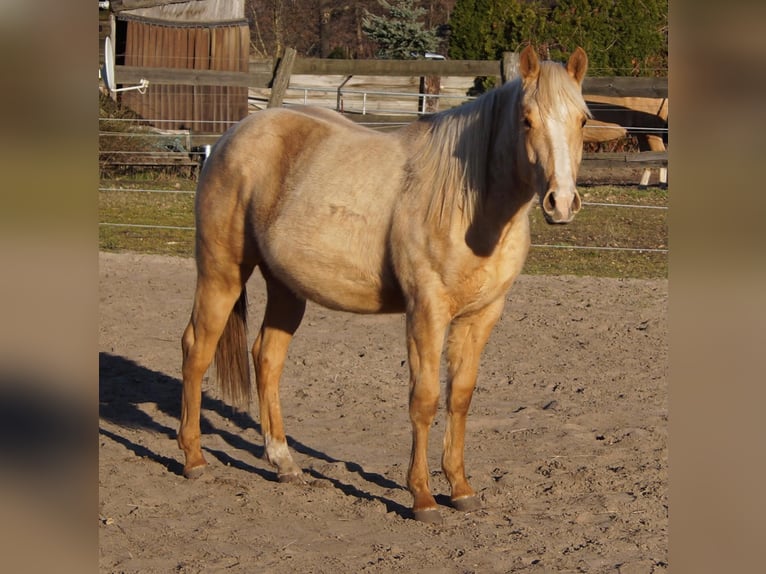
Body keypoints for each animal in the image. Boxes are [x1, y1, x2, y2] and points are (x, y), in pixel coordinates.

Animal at [177, 45, 592, 524]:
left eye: (583, 119)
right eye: (526, 119)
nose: (561, 203)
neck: (470, 205)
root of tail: (233, 136)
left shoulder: (482, 315)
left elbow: (460, 397)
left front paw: (461, 489)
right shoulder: (426, 311)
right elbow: (425, 398)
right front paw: (423, 497)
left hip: (286, 287)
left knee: (267, 357)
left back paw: (284, 463)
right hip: (221, 272)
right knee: (197, 350)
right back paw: (193, 459)